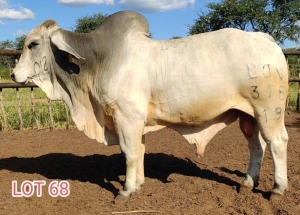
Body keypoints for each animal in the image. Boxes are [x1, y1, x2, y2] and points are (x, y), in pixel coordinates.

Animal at [11, 10, 288, 202]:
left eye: (33, 44)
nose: (13, 75)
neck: (98, 61)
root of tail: (265, 39)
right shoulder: (135, 122)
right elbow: (139, 151)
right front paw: (139, 184)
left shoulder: (126, 117)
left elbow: (130, 153)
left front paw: (126, 191)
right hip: (247, 115)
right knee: (256, 146)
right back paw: (247, 183)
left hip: (268, 111)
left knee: (277, 142)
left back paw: (277, 189)